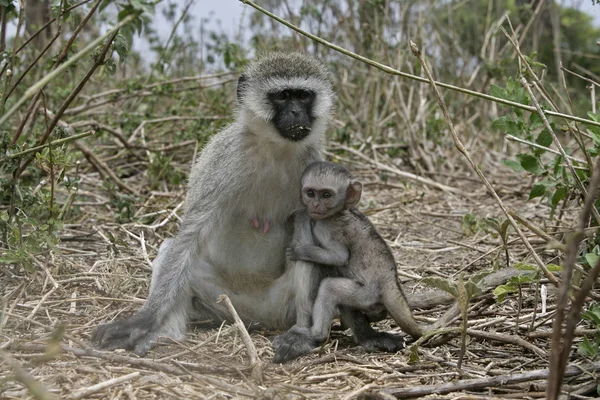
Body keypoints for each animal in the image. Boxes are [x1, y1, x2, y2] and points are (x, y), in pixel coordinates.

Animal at [93, 51, 338, 354]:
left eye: (303, 96)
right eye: (282, 96)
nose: (295, 113)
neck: (275, 150)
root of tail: (257, 316)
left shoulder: (314, 163)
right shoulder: (223, 162)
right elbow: (190, 234)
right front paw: (142, 320)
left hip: (282, 304)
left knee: (304, 252)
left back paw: (301, 334)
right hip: (223, 298)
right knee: (176, 251)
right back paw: (165, 334)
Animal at [284, 162, 422, 360]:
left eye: (326, 195)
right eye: (310, 193)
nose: (315, 204)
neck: (339, 212)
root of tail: (390, 280)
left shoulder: (324, 227)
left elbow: (339, 256)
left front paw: (299, 251)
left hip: (366, 294)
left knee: (329, 288)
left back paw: (317, 333)